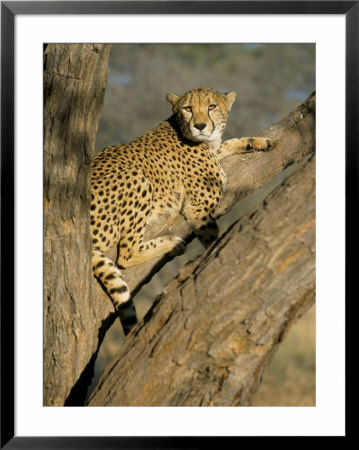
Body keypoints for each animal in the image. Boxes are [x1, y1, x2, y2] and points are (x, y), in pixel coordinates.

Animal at [90, 87, 276, 334]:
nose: (200, 126)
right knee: (126, 253)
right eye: (188, 108)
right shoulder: (198, 208)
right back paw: (172, 244)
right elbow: (213, 238)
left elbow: (228, 143)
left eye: (211, 107)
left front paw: (260, 142)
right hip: (136, 177)